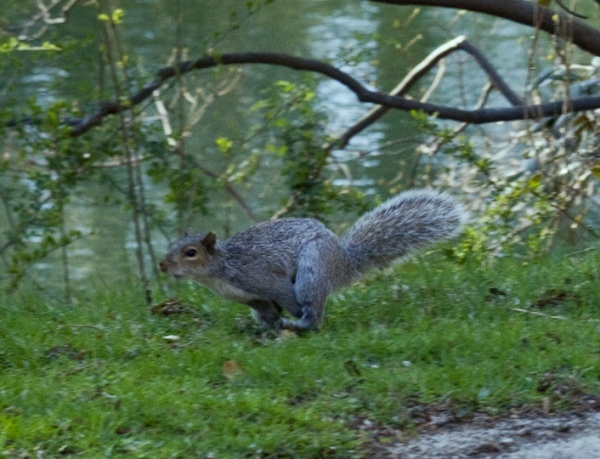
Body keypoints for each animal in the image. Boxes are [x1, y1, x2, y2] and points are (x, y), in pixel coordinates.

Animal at [158, 189, 464, 332]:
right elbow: (268, 312)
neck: (221, 272)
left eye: (190, 253)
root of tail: (344, 262)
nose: (162, 265)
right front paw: (264, 325)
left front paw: (290, 319)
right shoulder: (253, 298)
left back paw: (301, 324)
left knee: (314, 312)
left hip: (312, 268)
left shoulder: (265, 279)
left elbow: (285, 297)